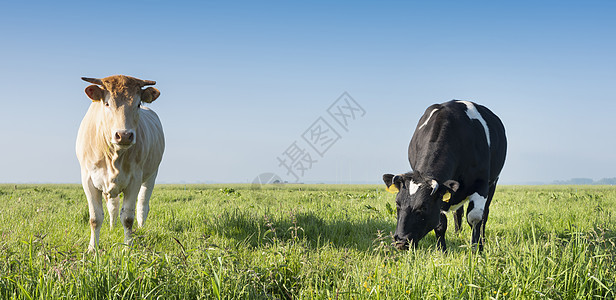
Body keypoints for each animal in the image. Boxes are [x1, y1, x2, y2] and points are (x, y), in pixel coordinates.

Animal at [75, 75, 165, 251]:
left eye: (138, 104)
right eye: (107, 103)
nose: (123, 135)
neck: (113, 156)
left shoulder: (134, 180)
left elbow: (128, 218)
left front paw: (128, 247)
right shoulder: (88, 179)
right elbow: (95, 218)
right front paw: (92, 248)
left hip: (152, 175)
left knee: (142, 205)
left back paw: (141, 228)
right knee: (113, 207)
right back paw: (111, 227)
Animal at [382, 100, 508, 251]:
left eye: (423, 207)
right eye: (397, 203)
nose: (401, 241)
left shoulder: (481, 183)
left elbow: (475, 218)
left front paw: (477, 249)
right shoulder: (441, 194)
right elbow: (440, 224)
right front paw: (442, 250)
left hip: (493, 182)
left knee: (485, 214)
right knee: (458, 212)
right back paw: (458, 234)